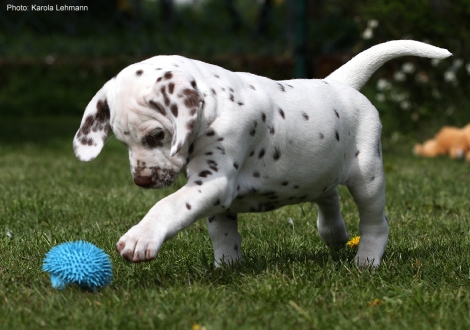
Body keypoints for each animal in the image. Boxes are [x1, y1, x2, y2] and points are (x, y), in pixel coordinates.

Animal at [74, 40, 452, 268]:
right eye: (122, 141)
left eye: (157, 135)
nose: (142, 180)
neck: (215, 105)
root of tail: (338, 83)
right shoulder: (213, 193)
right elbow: (222, 232)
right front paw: (226, 266)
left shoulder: (214, 181)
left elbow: (169, 205)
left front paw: (140, 238)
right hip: (320, 169)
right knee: (328, 195)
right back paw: (333, 233)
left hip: (367, 175)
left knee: (375, 220)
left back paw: (367, 260)